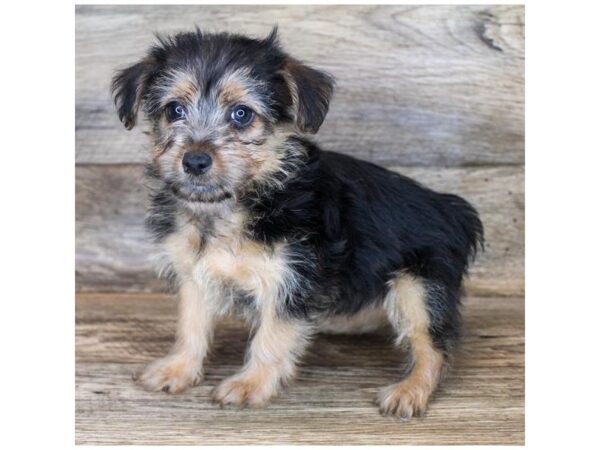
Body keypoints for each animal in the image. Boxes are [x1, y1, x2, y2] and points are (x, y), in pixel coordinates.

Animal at [111, 26, 482, 418]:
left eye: (241, 114)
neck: (233, 204)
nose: (195, 160)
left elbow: (271, 337)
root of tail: (452, 208)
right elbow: (191, 325)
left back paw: (410, 391)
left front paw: (250, 384)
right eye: (174, 110)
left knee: (433, 345)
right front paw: (178, 368)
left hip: (420, 287)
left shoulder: (291, 280)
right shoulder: (195, 274)